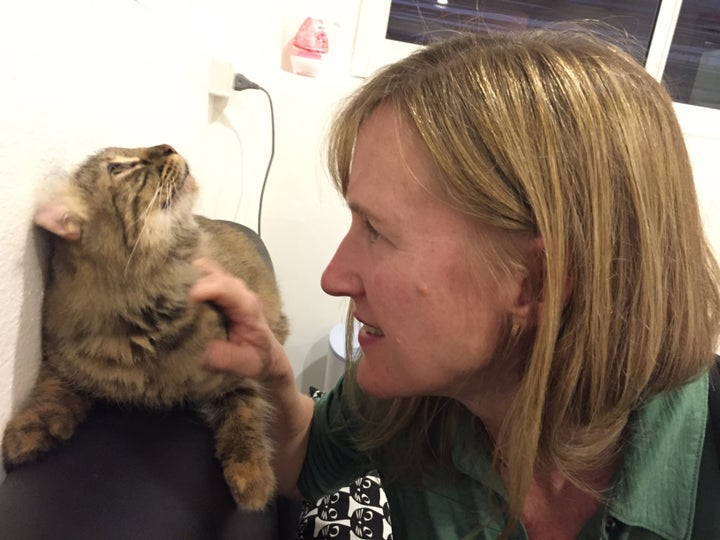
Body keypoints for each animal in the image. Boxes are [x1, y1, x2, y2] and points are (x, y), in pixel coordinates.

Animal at [0, 143, 286, 510]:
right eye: (120, 168)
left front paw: (253, 478)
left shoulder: (236, 368)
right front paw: (28, 431)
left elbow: (245, 416)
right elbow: (49, 394)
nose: (169, 146)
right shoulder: (61, 361)